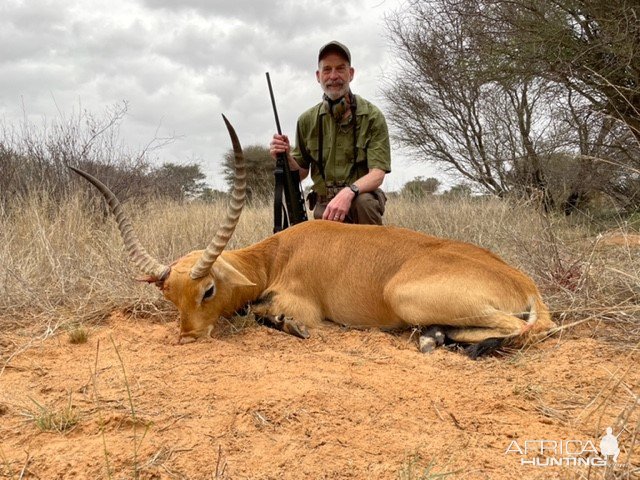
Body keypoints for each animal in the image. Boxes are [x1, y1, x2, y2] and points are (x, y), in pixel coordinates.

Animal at [71, 116, 556, 356]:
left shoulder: (298, 302)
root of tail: (524, 282)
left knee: (525, 328)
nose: (188, 336)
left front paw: (290, 326)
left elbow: (268, 313)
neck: (278, 255)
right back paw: (434, 337)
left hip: (408, 297)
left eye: (207, 289)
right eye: (169, 296)